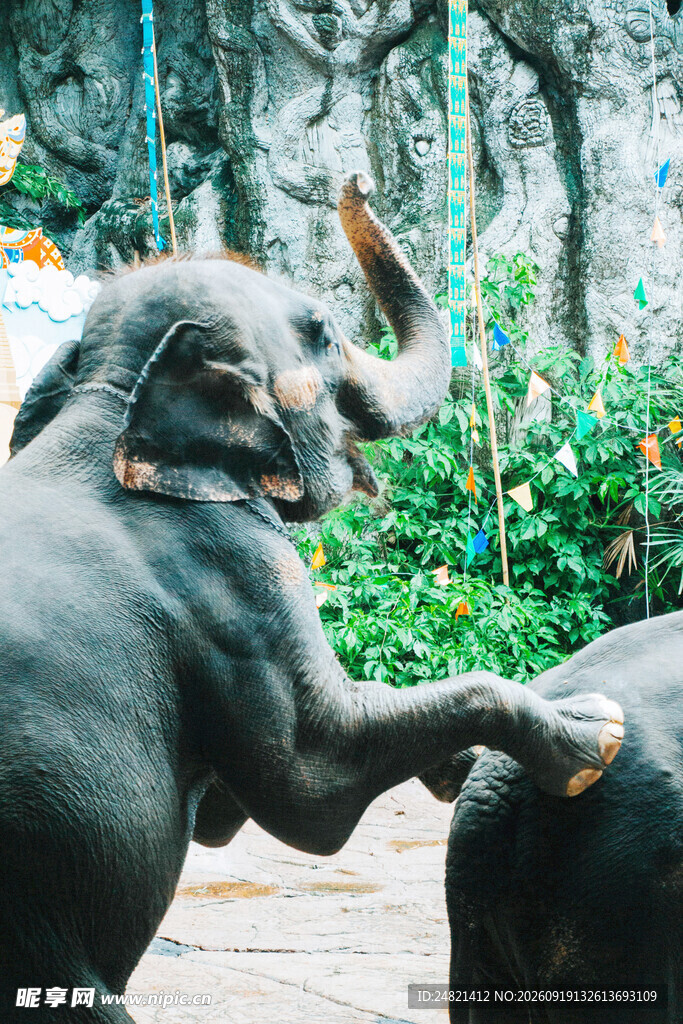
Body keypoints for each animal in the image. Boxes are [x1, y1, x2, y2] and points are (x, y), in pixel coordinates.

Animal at [0, 172, 624, 1022]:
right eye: (324, 331)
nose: (355, 183)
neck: (109, 404)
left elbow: (230, 812)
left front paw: (462, 768)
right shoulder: (235, 574)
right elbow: (314, 785)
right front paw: (594, 732)